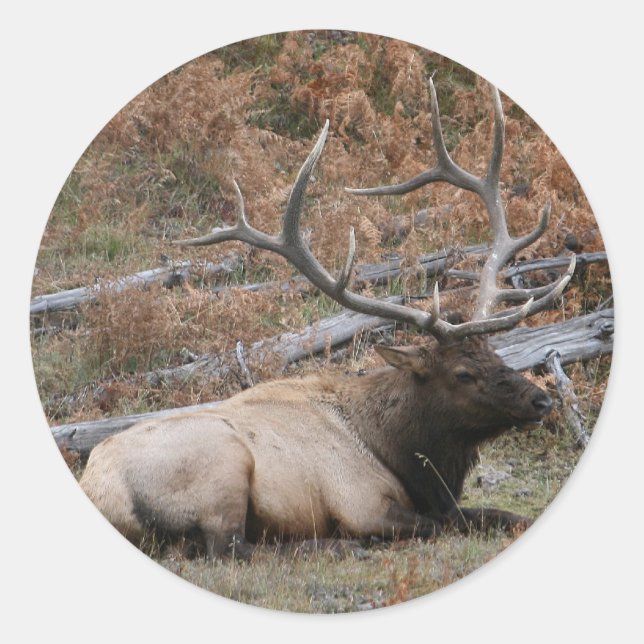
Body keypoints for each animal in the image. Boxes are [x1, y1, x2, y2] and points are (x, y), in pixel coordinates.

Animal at [79, 78, 575, 560]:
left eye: (497, 356)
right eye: (463, 374)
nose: (541, 401)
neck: (396, 450)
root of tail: (102, 492)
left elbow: (504, 515)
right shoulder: (362, 503)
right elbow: (438, 525)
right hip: (223, 466)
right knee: (231, 550)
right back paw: (337, 547)